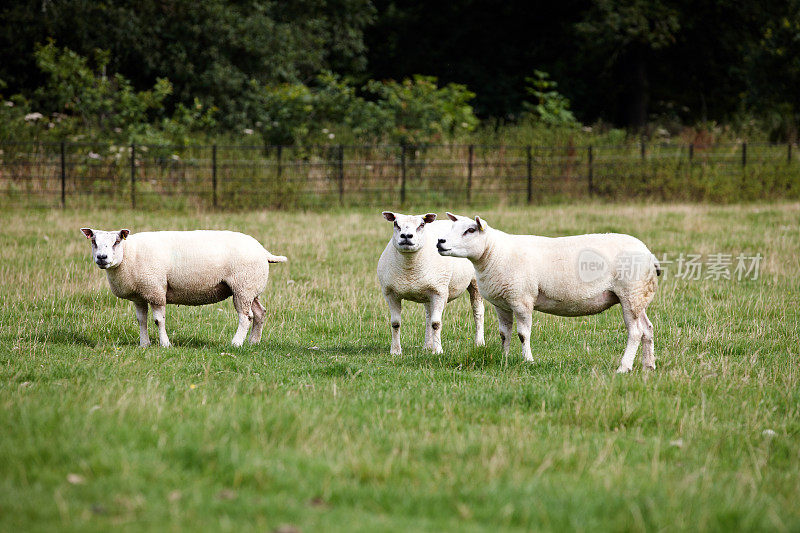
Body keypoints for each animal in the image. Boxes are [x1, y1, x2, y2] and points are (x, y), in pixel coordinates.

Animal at [78, 227, 290, 348]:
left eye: (116, 241)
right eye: (94, 241)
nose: (102, 258)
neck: (130, 254)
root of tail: (263, 250)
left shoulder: (156, 290)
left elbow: (158, 321)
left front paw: (165, 344)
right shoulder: (140, 294)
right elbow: (141, 321)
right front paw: (144, 344)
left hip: (243, 286)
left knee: (246, 317)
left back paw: (236, 343)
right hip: (250, 288)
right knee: (260, 313)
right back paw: (254, 342)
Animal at [376, 211, 484, 354]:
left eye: (422, 224)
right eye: (395, 223)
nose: (406, 236)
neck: (409, 270)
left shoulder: (439, 292)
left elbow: (436, 323)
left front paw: (438, 350)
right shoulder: (390, 293)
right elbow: (395, 323)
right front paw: (395, 351)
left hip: (475, 282)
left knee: (478, 312)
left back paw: (479, 343)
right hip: (427, 291)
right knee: (428, 317)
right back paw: (427, 345)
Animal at [438, 213, 664, 374]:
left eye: (470, 230)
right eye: (452, 227)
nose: (440, 241)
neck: (494, 253)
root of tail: (649, 254)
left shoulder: (522, 299)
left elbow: (523, 334)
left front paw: (528, 361)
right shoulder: (501, 303)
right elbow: (504, 334)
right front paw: (504, 359)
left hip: (630, 293)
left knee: (635, 332)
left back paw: (623, 367)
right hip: (638, 296)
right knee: (648, 329)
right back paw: (648, 366)